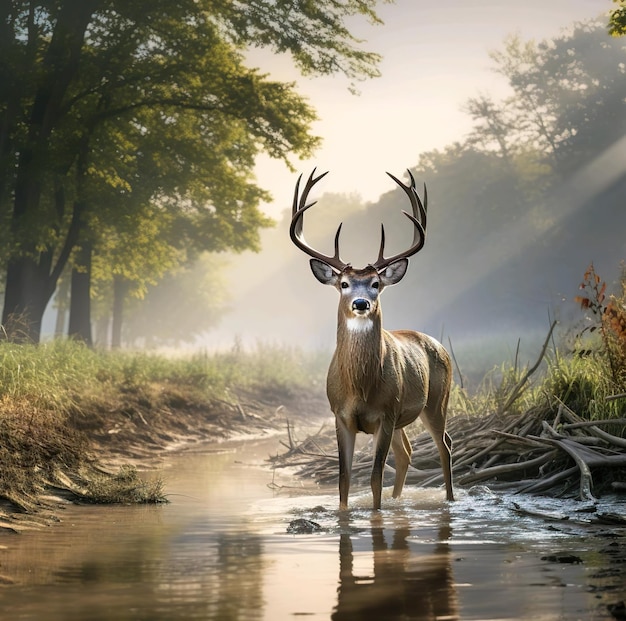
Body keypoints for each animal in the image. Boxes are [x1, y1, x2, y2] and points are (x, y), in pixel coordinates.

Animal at [288, 170, 454, 508]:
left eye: (376, 283)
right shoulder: (340, 416)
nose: (361, 303)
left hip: (436, 402)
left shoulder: (386, 414)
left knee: (445, 446)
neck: (361, 387)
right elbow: (344, 479)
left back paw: (450, 500)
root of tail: (439, 346)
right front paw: (346, 513)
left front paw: (376, 513)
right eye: (344, 283)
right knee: (407, 454)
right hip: (406, 416)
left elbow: (376, 477)